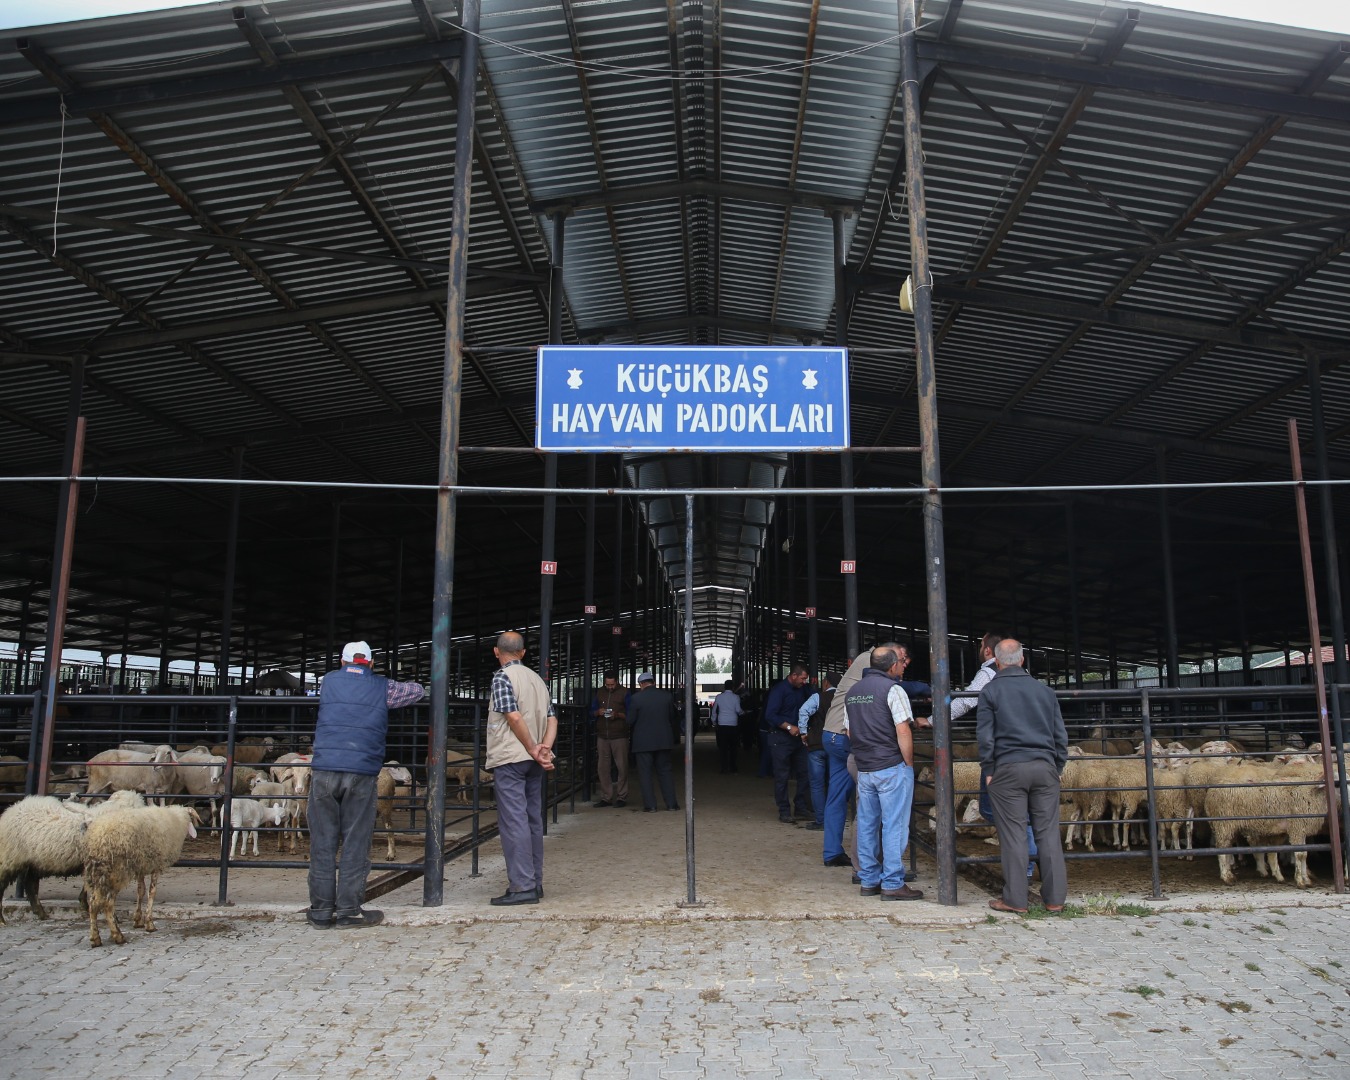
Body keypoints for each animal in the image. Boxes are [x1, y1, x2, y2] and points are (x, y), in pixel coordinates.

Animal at [0, 788, 144, 923]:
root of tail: (11, 809)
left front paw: (85, 904)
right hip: (9, 858)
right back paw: (3, 920)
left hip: (36, 861)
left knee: (30, 883)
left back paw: (41, 913)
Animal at [83, 799, 199, 945]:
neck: (176, 820)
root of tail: (97, 839)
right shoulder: (156, 865)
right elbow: (152, 892)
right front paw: (149, 923)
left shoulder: (141, 867)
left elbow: (140, 891)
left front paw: (138, 920)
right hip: (116, 873)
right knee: (107, 904)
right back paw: (118, 935)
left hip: (96, 874)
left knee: (93, 904)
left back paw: (95, 937)